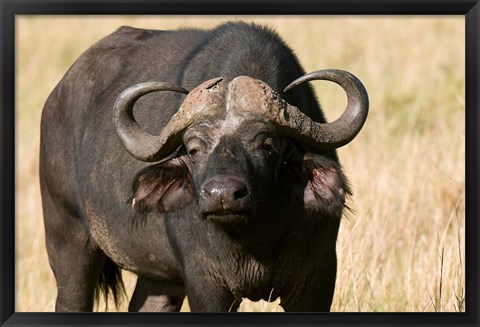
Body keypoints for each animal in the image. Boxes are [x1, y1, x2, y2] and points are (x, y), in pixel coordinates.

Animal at [40, 21, 368, 314]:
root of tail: (56, 97)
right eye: (195, 148)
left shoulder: (318, 277)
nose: (222, 195)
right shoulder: (206, 283)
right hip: (67, 239)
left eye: (267, 144)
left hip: (160, 278)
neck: (257, 235)